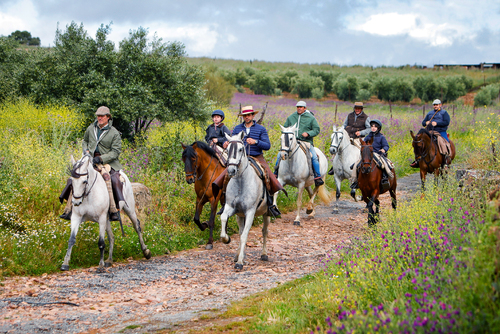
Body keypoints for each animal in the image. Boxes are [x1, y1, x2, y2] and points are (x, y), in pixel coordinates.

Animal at [221, 132, 272, 270]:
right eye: (227, 149)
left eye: (240, 149)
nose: (231, 170)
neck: (240, 182)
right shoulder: (230, 207)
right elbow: (223, 218)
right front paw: (226, 239)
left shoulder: (250, 212)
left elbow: (244, 235)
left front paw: (240, 263)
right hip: (240, 215)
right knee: (240, 231)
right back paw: (237, 254)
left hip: (266, 213)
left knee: (264, 231)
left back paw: (264, 254)